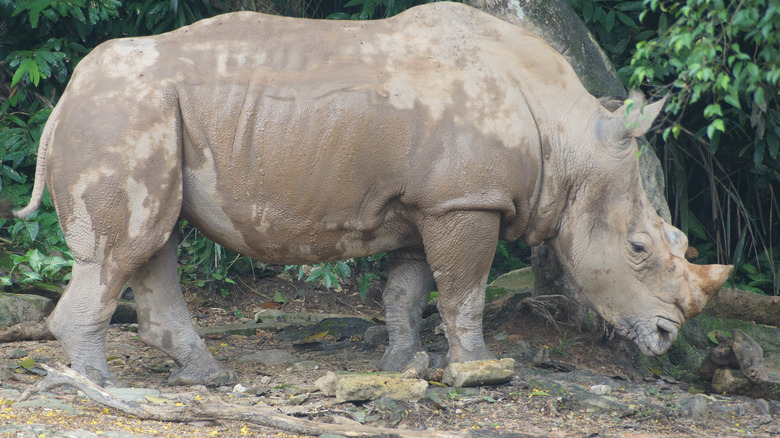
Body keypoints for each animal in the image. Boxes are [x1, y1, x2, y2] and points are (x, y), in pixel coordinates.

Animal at [4, 1, 732, 384]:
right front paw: (481, 369)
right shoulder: (466, 201)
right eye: (639, 247)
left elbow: (408, 290)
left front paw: (403, 364)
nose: (666, 335)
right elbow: (465, 290)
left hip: (140, 115)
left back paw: (205, 375)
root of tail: (62, 100)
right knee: (129, 244)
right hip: (124, 113)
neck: (570, 135)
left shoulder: (427, 205)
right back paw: (99, 384)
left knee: (157, 239)